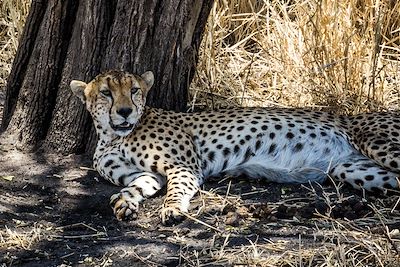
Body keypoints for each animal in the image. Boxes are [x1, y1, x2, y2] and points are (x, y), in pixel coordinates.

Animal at [70, 70, 398, 225]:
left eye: (135, 90)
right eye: (106, 93)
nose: (125, 111)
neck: (114, 136)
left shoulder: (185, 166)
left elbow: (175, 190)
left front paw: (172, 209)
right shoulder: (148, 175)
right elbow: (135, 186)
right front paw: (125, 203)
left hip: (376, 144)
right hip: (355, 169)